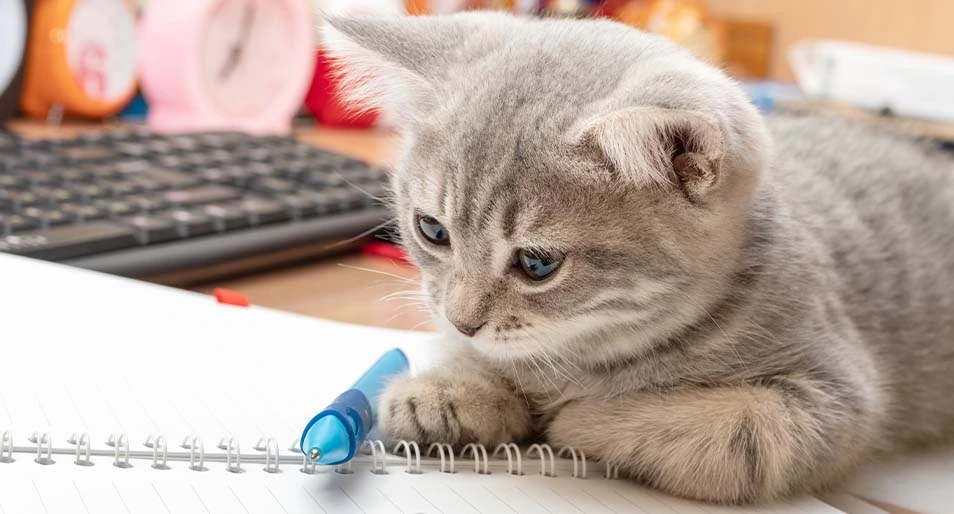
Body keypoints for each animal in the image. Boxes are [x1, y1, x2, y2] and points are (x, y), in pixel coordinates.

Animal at [318, 12, 952, 504]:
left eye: (538, 264)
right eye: (432, 230)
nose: (462, 318)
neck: (590, 350)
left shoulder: (833, 400)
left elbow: (734, 438)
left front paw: (579, 416)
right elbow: (480, 360)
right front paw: (452, 388)